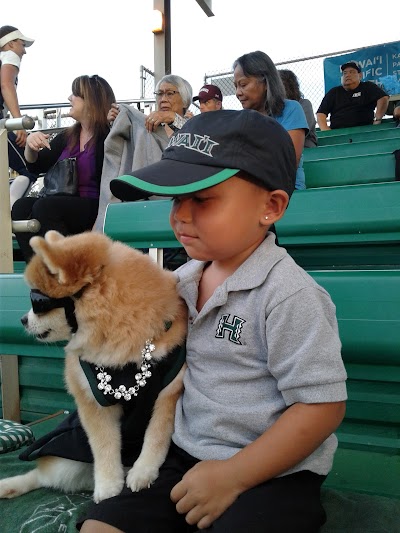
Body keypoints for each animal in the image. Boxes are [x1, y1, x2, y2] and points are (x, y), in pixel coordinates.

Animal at [0, 231, 188, 500]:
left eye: (39, 303)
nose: (23, 319)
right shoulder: (93, 403)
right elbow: (105, 447)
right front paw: (108, 487)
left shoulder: (168, 394)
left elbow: (155, 438)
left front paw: (143, 472)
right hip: (65, 464)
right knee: (42, 476)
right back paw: (10, 486)